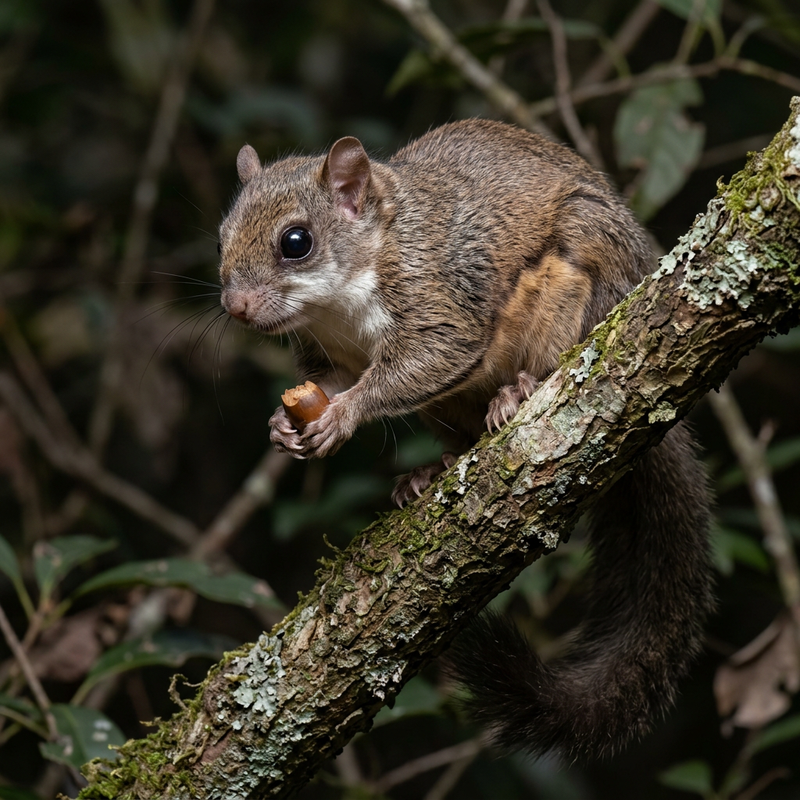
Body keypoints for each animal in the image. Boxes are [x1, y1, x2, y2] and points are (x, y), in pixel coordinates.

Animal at [217, 118, 714, 760]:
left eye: (295, 242)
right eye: (222, 236)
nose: (235, 307)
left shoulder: (435, 290)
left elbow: (428, 357)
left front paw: (345, 415)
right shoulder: (334, 356)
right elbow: (329, 382)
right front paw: (284, 427)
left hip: (585, 277)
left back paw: (519, 390)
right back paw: (428, 473)